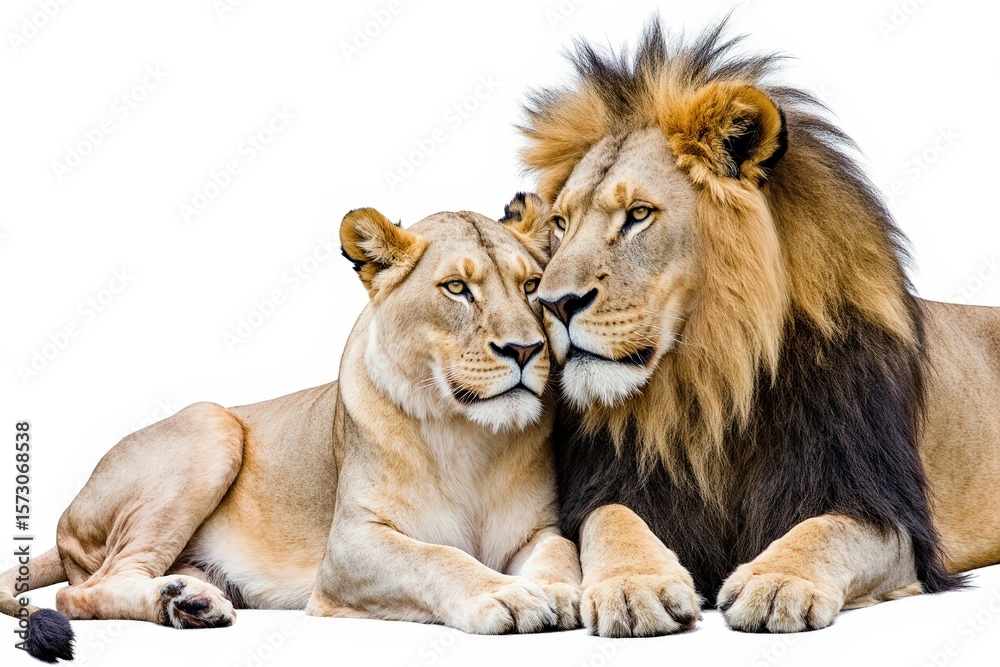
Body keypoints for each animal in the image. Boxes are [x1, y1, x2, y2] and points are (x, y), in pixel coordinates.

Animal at [0, 200, 582, 663]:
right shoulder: (349, 548)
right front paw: (507, 596)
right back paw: (180, 603)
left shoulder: (537, 529)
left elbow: (561, 552)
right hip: (210, 424)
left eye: (531, 286)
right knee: (82, 592)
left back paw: (192, 599)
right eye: (457, 288)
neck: (471, 435)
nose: (526, 349)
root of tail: (65, 520)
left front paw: (562, 594)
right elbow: (438, 557)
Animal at [518, 17, 1000, 637]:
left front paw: (778, 582)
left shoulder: (889, 513)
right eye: (561, 222)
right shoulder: (608, 486)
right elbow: (612, 518)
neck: (710, 378)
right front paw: (633, 584)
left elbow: (828, 530)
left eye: (638, 215)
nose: (553, 303)